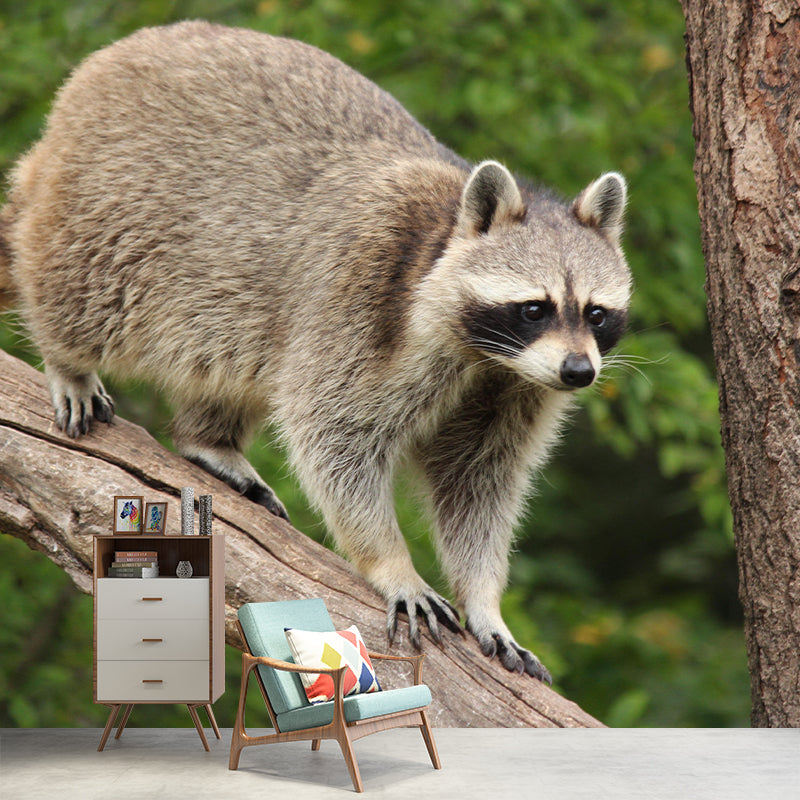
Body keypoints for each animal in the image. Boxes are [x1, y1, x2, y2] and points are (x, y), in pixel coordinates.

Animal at [0, 21, 631, 681]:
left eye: (595, 313)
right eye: (535, 308)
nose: (579, 372)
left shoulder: (515, 387)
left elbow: (479, 482)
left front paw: (485, 599)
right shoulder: (359, 296)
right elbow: (335, 435)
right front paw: (391, 562)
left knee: (234, 361)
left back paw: (209, 437)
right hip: (117, 205)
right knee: (83, 290)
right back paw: (67, 357)